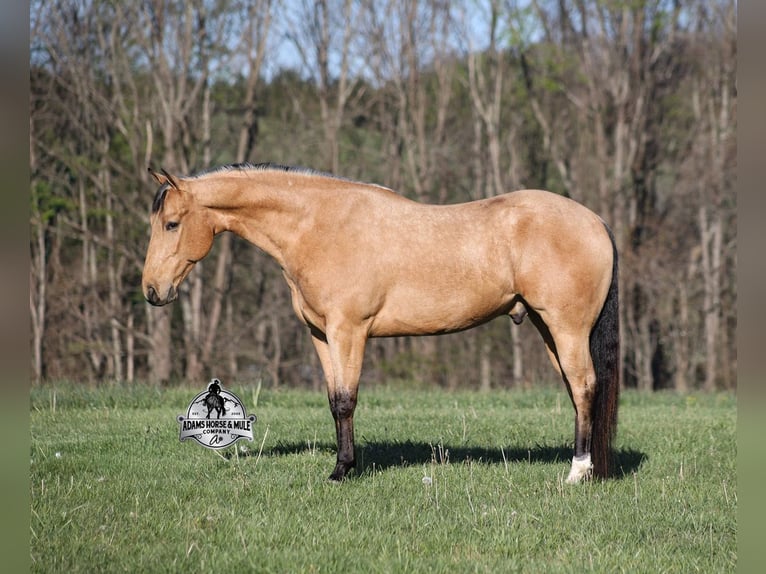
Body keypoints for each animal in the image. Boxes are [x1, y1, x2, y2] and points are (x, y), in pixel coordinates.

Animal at [141, 163, 619, 484]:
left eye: (172, 224)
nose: (152, 290)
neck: (319, 226)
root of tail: (595, 220)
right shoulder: (321, 335)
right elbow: (333, 401)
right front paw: (343, 465)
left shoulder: (349, 331)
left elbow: (346, 400)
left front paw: (342, 472)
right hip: (548, 329)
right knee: (578, 391)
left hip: (566, 328)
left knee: (584, 387)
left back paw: (578, 473)